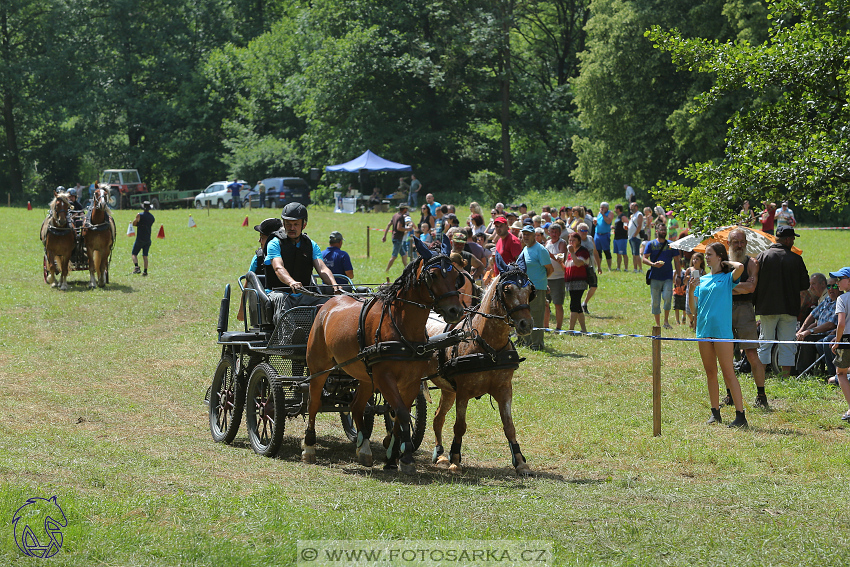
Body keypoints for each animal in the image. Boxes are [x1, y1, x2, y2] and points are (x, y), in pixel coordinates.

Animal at [302, 240, 464, 474]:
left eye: (456, 276)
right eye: (433, 275)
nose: (455, 310)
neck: (402, 325)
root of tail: (328, 304)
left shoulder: (410, 381)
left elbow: (398, 414)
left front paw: (392, 456)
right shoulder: (385, 378)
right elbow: (402, 414)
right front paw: (406, 457)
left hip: (365, 377)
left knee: (356, 406)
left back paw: (363, 448)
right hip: (319, 369)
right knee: (313, 403)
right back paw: (309, 447)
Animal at [428, 251, 532, 478]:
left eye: (530, 290)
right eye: (507, 290)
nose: (525, 324)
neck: (487, 345)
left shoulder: (504, 389)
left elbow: (509, 426)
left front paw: (520, 462)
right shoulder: (463, 391)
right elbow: (460, 426)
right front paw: (455, 460)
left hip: (447, 390)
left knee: (438, 418)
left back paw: (440, 454)